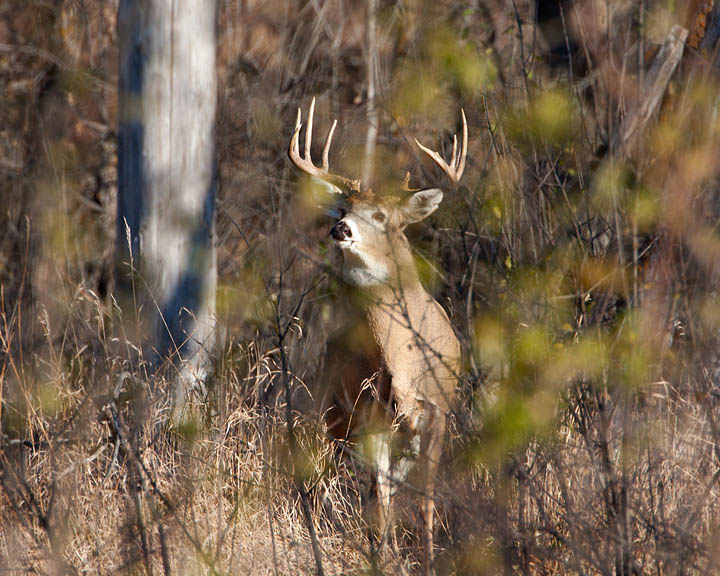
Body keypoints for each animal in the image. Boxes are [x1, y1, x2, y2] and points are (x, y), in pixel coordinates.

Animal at [290, 98, 464, 572]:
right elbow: (379, 504)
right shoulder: (373, 419)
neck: (404, 370)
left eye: (382, 215)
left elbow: (426, 502)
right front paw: (381, 557)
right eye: (343, 209)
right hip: (335, 412)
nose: (340, 229)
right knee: (345, 483)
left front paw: (428, 559)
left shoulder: (438, 412)